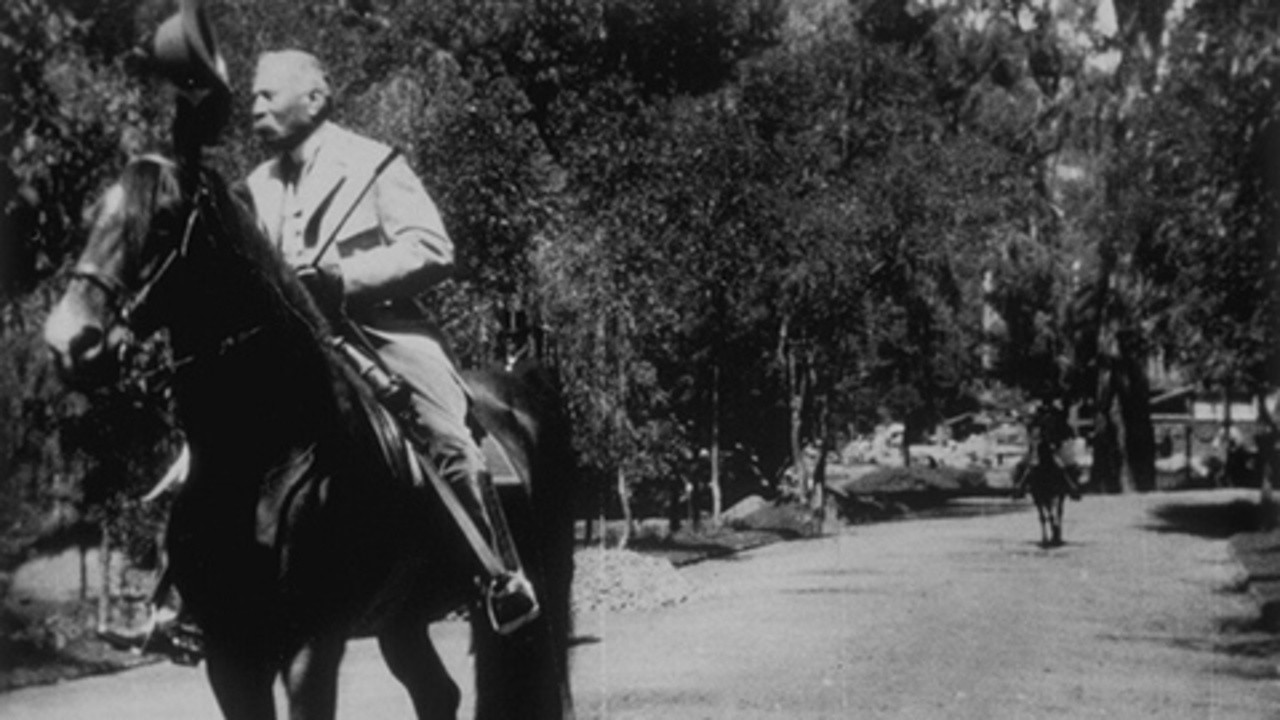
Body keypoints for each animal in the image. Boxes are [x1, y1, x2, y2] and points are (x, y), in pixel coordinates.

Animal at [43, 156, 576, 717]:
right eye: (92, 216)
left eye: (163, 219)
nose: (70, 340)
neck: (259, 454)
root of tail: (524, 380)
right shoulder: (230, 653)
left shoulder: (312, 644)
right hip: (402, 618)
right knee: (437, 693)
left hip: (543, 591)